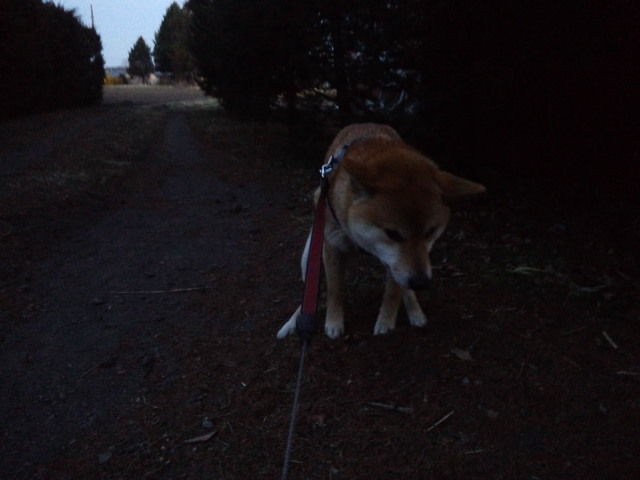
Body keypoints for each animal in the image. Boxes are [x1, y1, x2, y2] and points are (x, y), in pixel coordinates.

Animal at [277, 123, 485, 339]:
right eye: (392, 234)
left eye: (431, 231)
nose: (421, 282)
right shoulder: (333, 247)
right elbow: (335, 289)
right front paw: (333, 322)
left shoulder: (396, 261)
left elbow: (394, 291)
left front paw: (386, 321)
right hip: (312, 251)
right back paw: (294, 321)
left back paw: (415, 310)